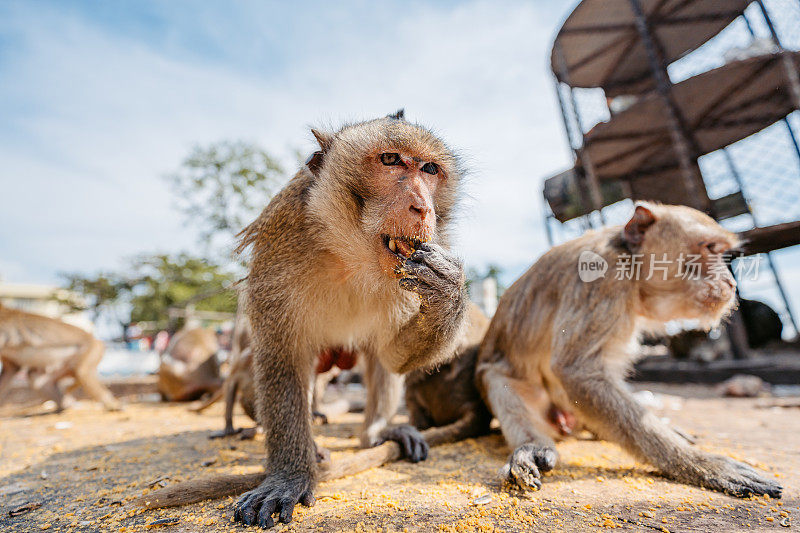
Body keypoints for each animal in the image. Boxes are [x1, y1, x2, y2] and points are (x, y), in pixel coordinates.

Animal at [476, 203, 780, 498]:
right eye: (710, 248)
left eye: (721, 252)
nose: (730, 283)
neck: (629, 264)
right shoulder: (601, 279)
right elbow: (577, 371)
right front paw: (701, 463)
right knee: (501, 382)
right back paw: (532, 446)